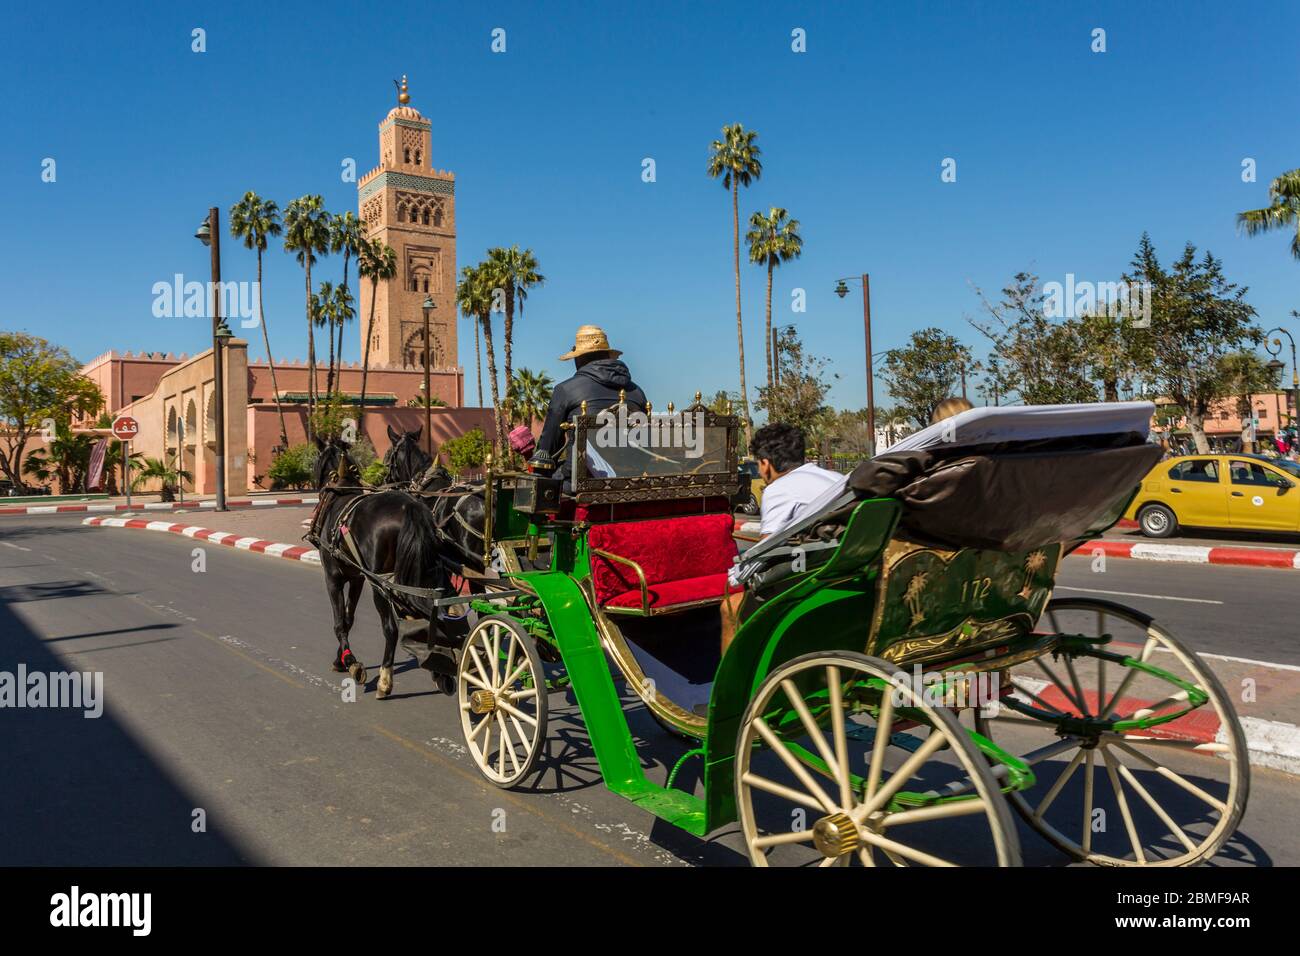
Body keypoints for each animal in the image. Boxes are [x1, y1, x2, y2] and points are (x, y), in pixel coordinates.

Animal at [310, 437, 449, 697]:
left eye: (316, 460)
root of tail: (410, 508)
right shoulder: (357, 578)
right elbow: (348, 618)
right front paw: (340, 660)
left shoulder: (333, 577)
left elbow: (339, 621)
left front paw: (350, 662)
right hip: (421, 576)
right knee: (434, 619)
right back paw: (442, 673)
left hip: (381, 584)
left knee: (391, 628)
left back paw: (385, 680)